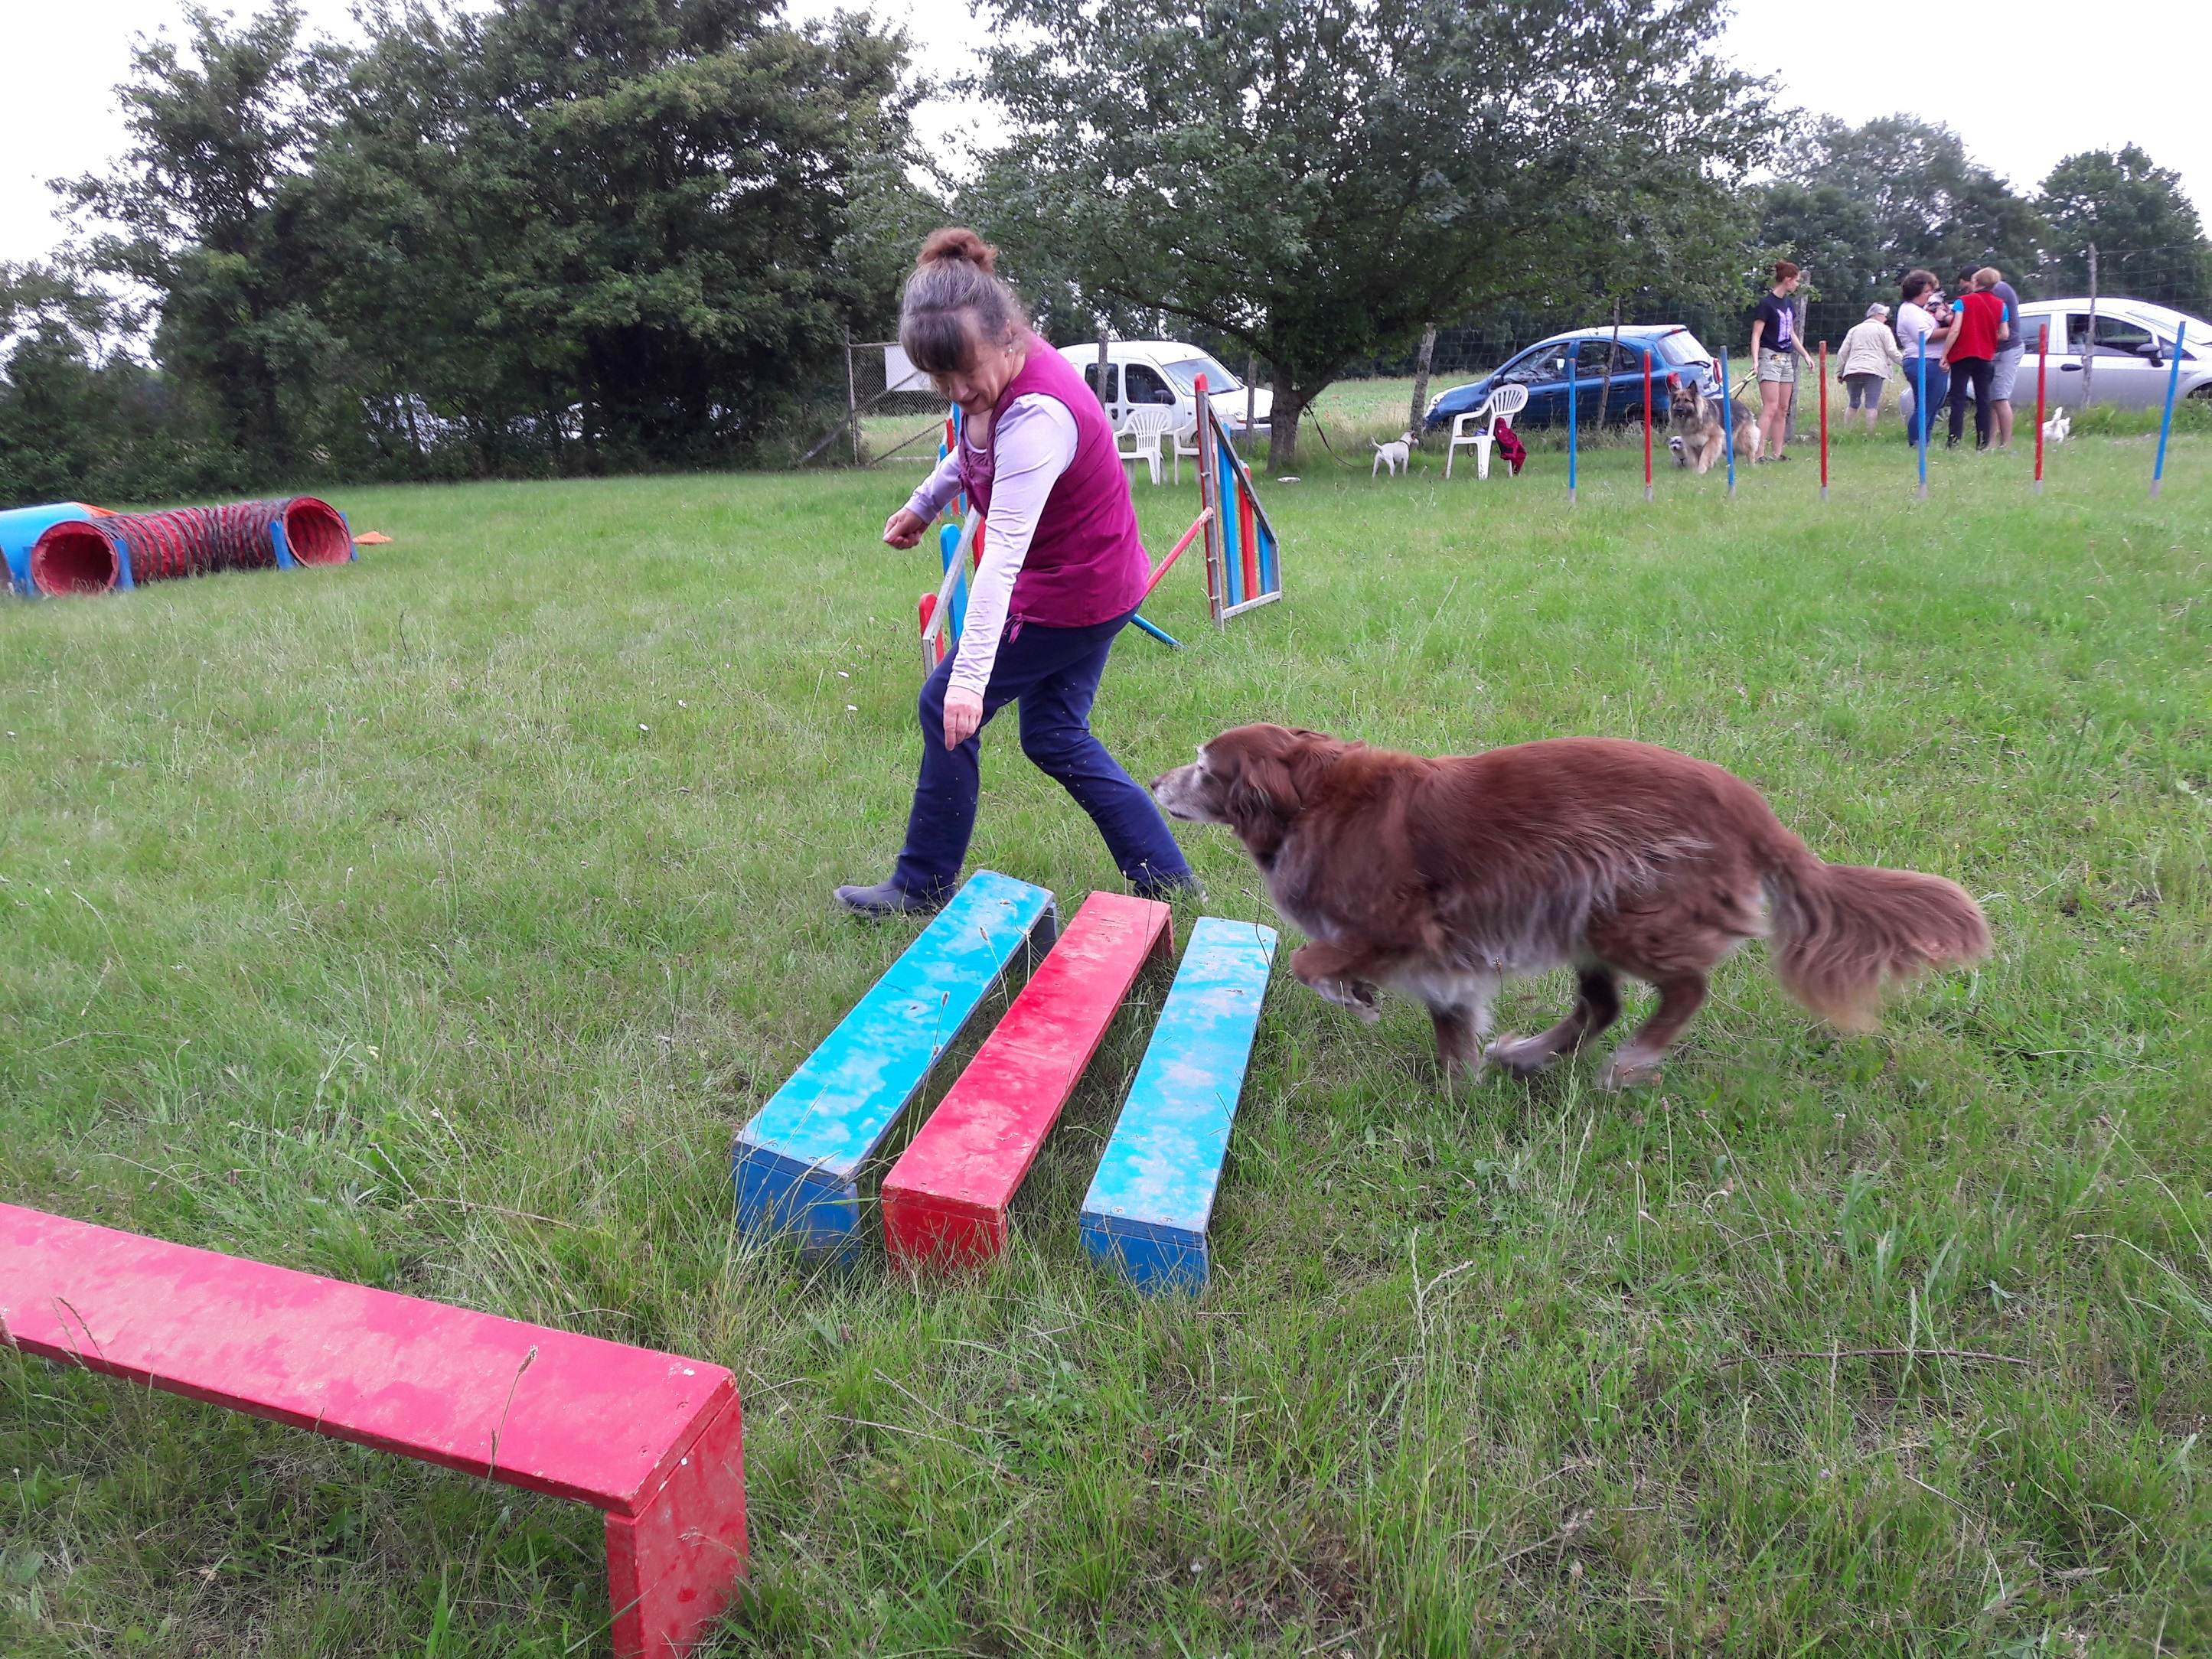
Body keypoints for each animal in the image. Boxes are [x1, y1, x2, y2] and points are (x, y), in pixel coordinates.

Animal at [1159, 725, 1991, 1092]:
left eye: (1204, 768)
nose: (1159, 780)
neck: (1310, 800)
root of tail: (1749, 807)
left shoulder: (1401, 924)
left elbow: (1310, 959)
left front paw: (1353, 995)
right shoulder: (1448, 957)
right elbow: (1451, 1026)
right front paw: (1460, 1090)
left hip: (1622, 911)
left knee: (1682, 989)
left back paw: (1634, 1060)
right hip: (1579, 914)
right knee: (1601, 1004)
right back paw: (1530, 1055)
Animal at [1663, 383, 1770, 473]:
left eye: (1687, 400)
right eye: (1677, 401)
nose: (1678, 410)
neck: (1695, 420)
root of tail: (1742, 405)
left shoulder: (1715, 438)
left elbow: (1705, 454)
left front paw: (1702, 470)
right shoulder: (1691, 443)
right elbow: (1694, 459)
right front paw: (1695, 472)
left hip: (1742, 440)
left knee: (1750, 452)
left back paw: (1752, 466)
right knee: (1733, 455)